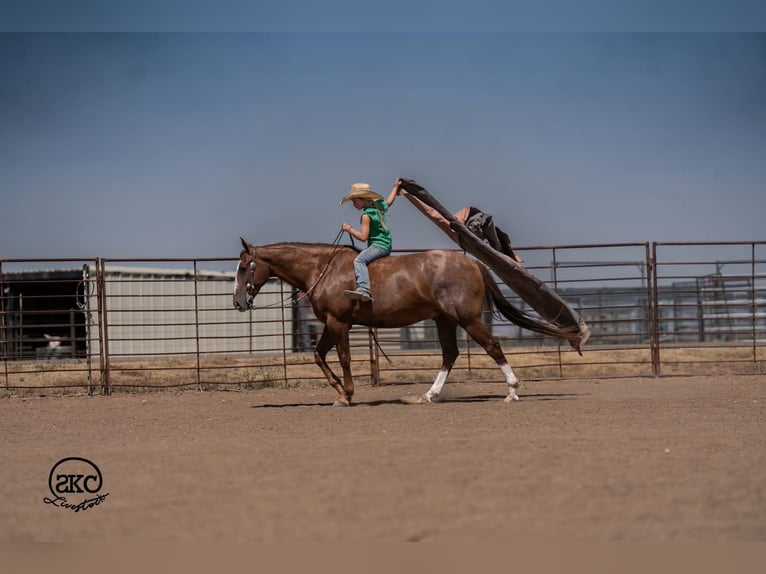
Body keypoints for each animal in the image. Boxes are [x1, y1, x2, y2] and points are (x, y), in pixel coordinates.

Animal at [233, 238, 568, 406]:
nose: (238, 302)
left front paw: (347, 394)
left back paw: (512, 391)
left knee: (492, 346)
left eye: (244, 268)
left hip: (467, 319)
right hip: (444, 320)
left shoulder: (338, 323)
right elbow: (318, 356)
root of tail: (472, 262)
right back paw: (430, 395)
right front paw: (339, 390)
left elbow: (343, 358)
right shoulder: (331, 324)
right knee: (450, 354)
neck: (323, 269)